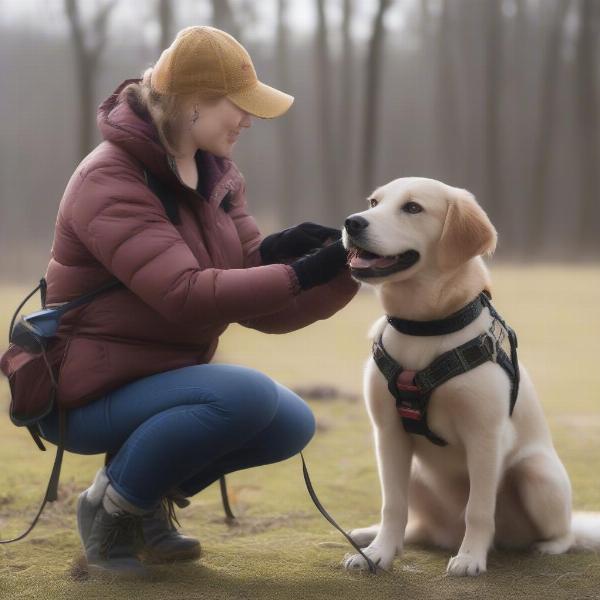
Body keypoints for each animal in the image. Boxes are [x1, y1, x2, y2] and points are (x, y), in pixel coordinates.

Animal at [340, 176, 596, 576]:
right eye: (373, 202)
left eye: (412, 208)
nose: (352, 223)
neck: (425, 327)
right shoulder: (388, 433)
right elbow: (392, 504)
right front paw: (380, 553)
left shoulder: (485, 436)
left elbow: (478, 508)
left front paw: (472, 557)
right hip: (416, 473)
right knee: (414, 524)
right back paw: (371, 535)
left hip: (537, 475)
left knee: (564, 530)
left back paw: (546, 546)